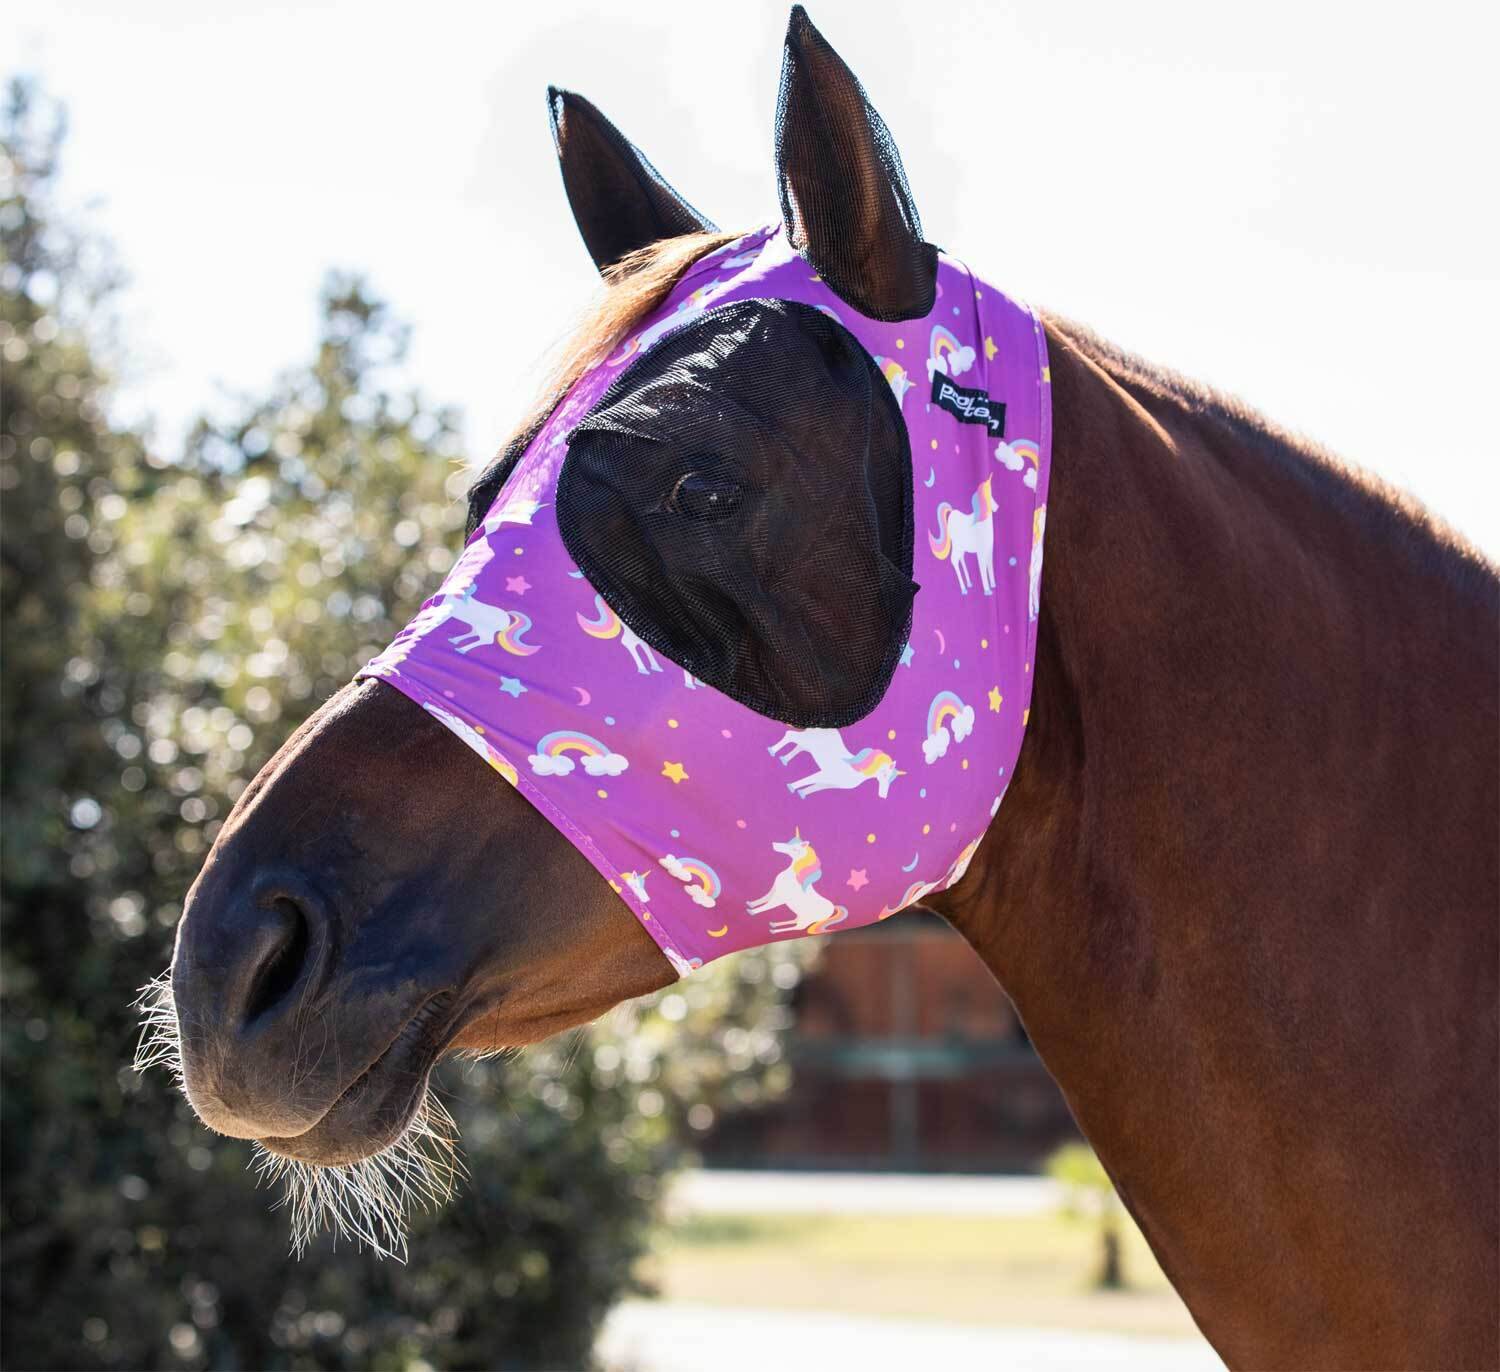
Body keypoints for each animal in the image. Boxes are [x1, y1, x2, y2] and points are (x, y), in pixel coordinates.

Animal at [768, 726, 904, 800]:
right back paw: (772, 750)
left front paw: (802, 794)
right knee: (790, 735)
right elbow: (808, 780)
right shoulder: (824, 774)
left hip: (808, 744)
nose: (883, 796)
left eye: (892, 779)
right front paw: (791, 787)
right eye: (884, 774)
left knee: (799, 747)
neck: (854, 770)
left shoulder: (830, 783)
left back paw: (784, 759)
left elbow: (814, 787)